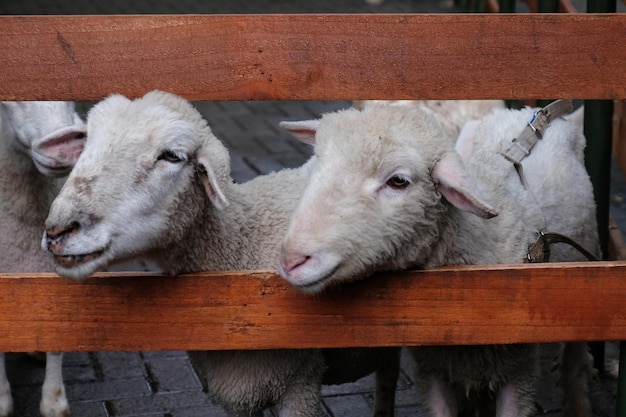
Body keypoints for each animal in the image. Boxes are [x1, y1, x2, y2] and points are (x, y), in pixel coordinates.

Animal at [280, 103, 600, 416]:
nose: (292, 260)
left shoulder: (519, 370)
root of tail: (531, 113)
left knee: (574, 367)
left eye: (398, 181)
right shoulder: (433, 366)